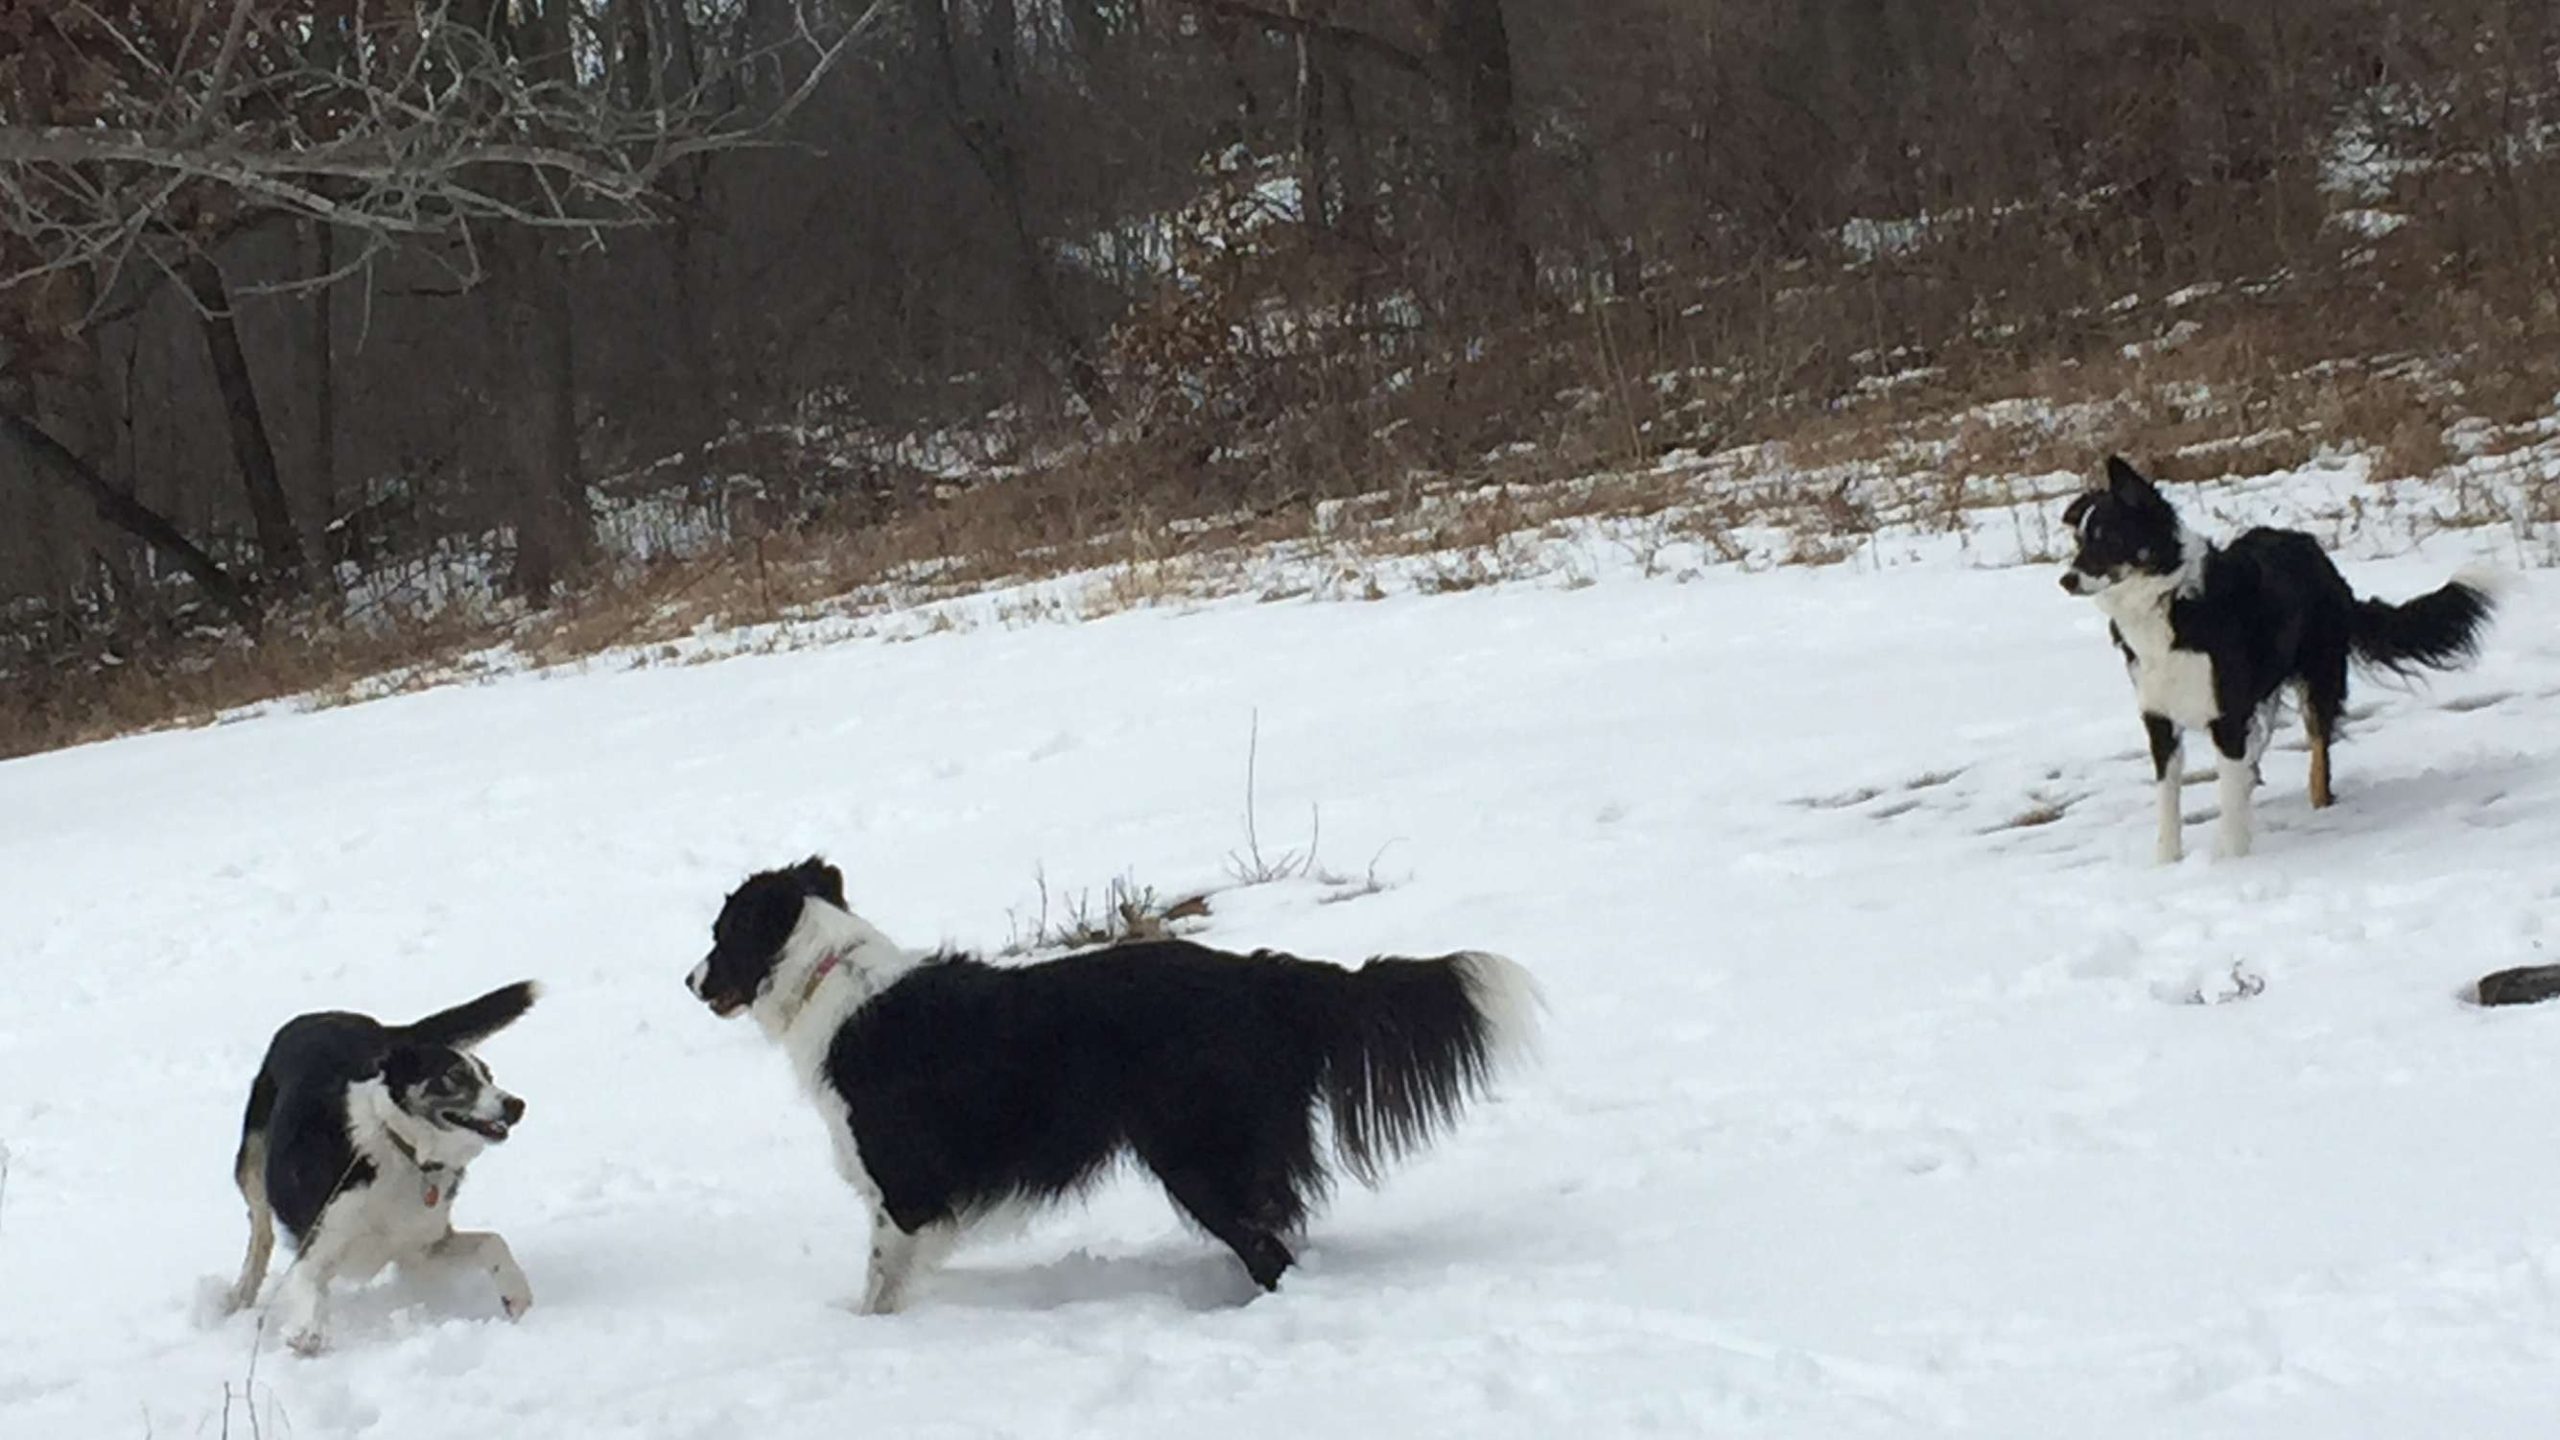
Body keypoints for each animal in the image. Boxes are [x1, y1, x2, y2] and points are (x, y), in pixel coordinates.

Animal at [221, 973, 540, 1342]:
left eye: (489, 1076)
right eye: (456, 1076)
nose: (516, 1105)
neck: (402, 1149)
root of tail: (322, 1015)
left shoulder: (421, 1247)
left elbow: (493, 1242)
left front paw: (517, 1296)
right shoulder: (316, 1247)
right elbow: (311, 1293)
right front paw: (307, 1338)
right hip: (252, 1160)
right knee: (260, 1230)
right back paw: (240, 1294)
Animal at [680, 855, 1536, 1306]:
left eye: (720, 935)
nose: (688, 981)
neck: (830, 978)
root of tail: (1262, 976)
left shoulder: (904, 1188)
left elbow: (880, 1282)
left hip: (1198, 1158)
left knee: (1268, 1250)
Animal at [2058, 453, 2498, 855]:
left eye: (2109, 537)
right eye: (2079, 540)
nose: (2066, 580)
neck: (2167, 601)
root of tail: (2319, 557)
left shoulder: (2226, 715)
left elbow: (2230, 804)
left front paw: (2232, 863)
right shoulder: (2160, 718)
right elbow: (2169, 803)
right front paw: (2169, 862)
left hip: (2319, 679)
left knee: (2318, 755)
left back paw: (2319, 804)